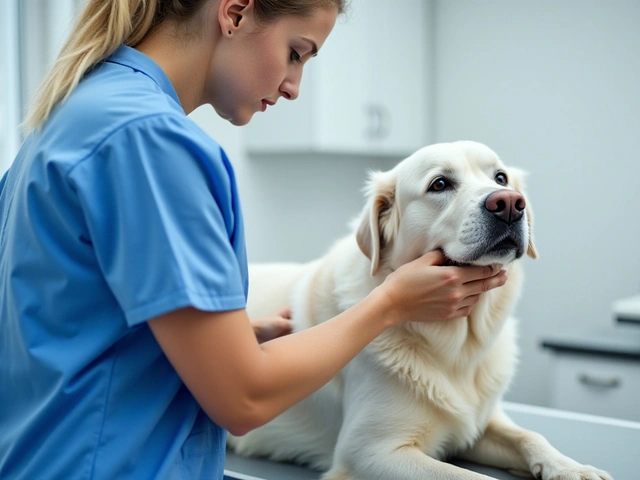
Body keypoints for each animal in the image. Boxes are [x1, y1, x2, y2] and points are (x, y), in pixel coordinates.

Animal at [228, 141, 612, 478]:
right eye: (439, 184)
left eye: (500, 178)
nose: (509, 203)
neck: (460, 344)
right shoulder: (369, 451)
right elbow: (469, 478)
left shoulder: (477, 423)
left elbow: (530, 435)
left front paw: (571, 468)